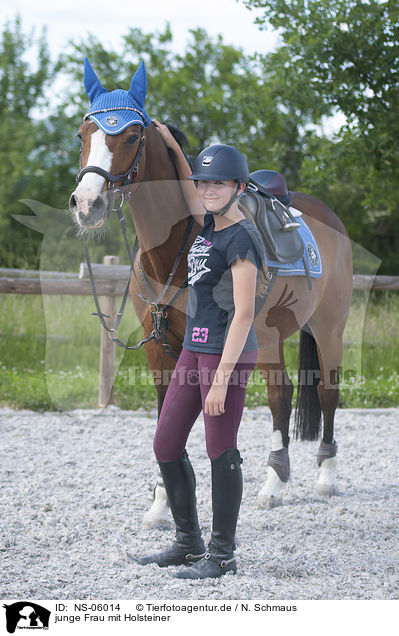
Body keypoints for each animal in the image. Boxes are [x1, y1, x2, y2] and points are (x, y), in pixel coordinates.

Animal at [69, 60, 354, 528]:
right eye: (82, 134)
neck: (177, 251)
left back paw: (309, 479)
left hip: (323, 329)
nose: (87, 204)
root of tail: (329, 216)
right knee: (290, 394)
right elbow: (167, 418)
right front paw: (161, 503)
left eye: (131, 136)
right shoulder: (159, 349)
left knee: (314, 394)